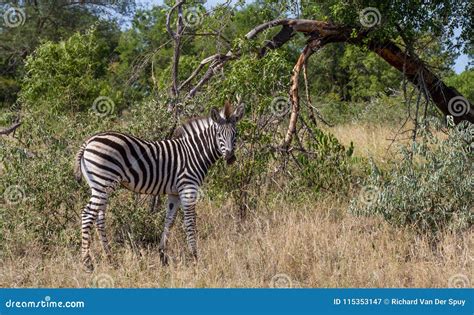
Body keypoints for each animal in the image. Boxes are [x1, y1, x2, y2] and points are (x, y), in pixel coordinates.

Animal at [75, 102, 244, 272]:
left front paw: (163, 256)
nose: (230, 158)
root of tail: (89, 141)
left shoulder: (174, 193)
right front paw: (195, 258)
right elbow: (190, 222)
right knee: (87, 215)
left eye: (235, 134)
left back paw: (111, 259)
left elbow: (169, 221)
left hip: (101, 186)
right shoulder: (188, 187)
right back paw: (87, 263)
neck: (194, 152)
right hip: (103, 183)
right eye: (219, 135)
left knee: (99, 218)